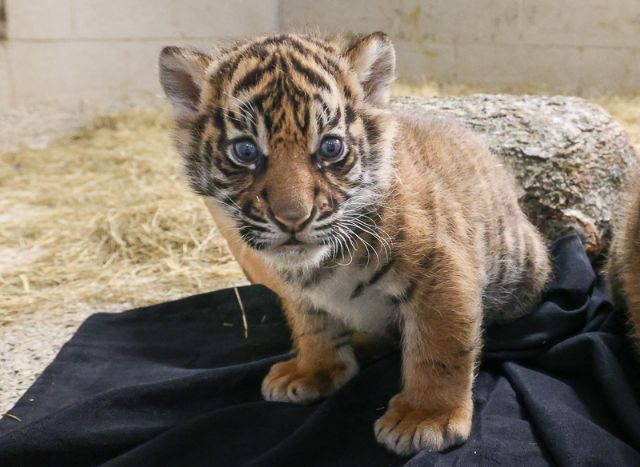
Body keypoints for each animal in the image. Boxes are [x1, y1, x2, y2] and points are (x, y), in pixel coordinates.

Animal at [158, 32, 551, 455]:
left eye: (330, 148)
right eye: (245, 151)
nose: (293, 218)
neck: (324, 261)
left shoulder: (441, 272)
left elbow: (440, 348)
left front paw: (426, 417)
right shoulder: (302, 294)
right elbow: (313, 329)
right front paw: (313, 371)